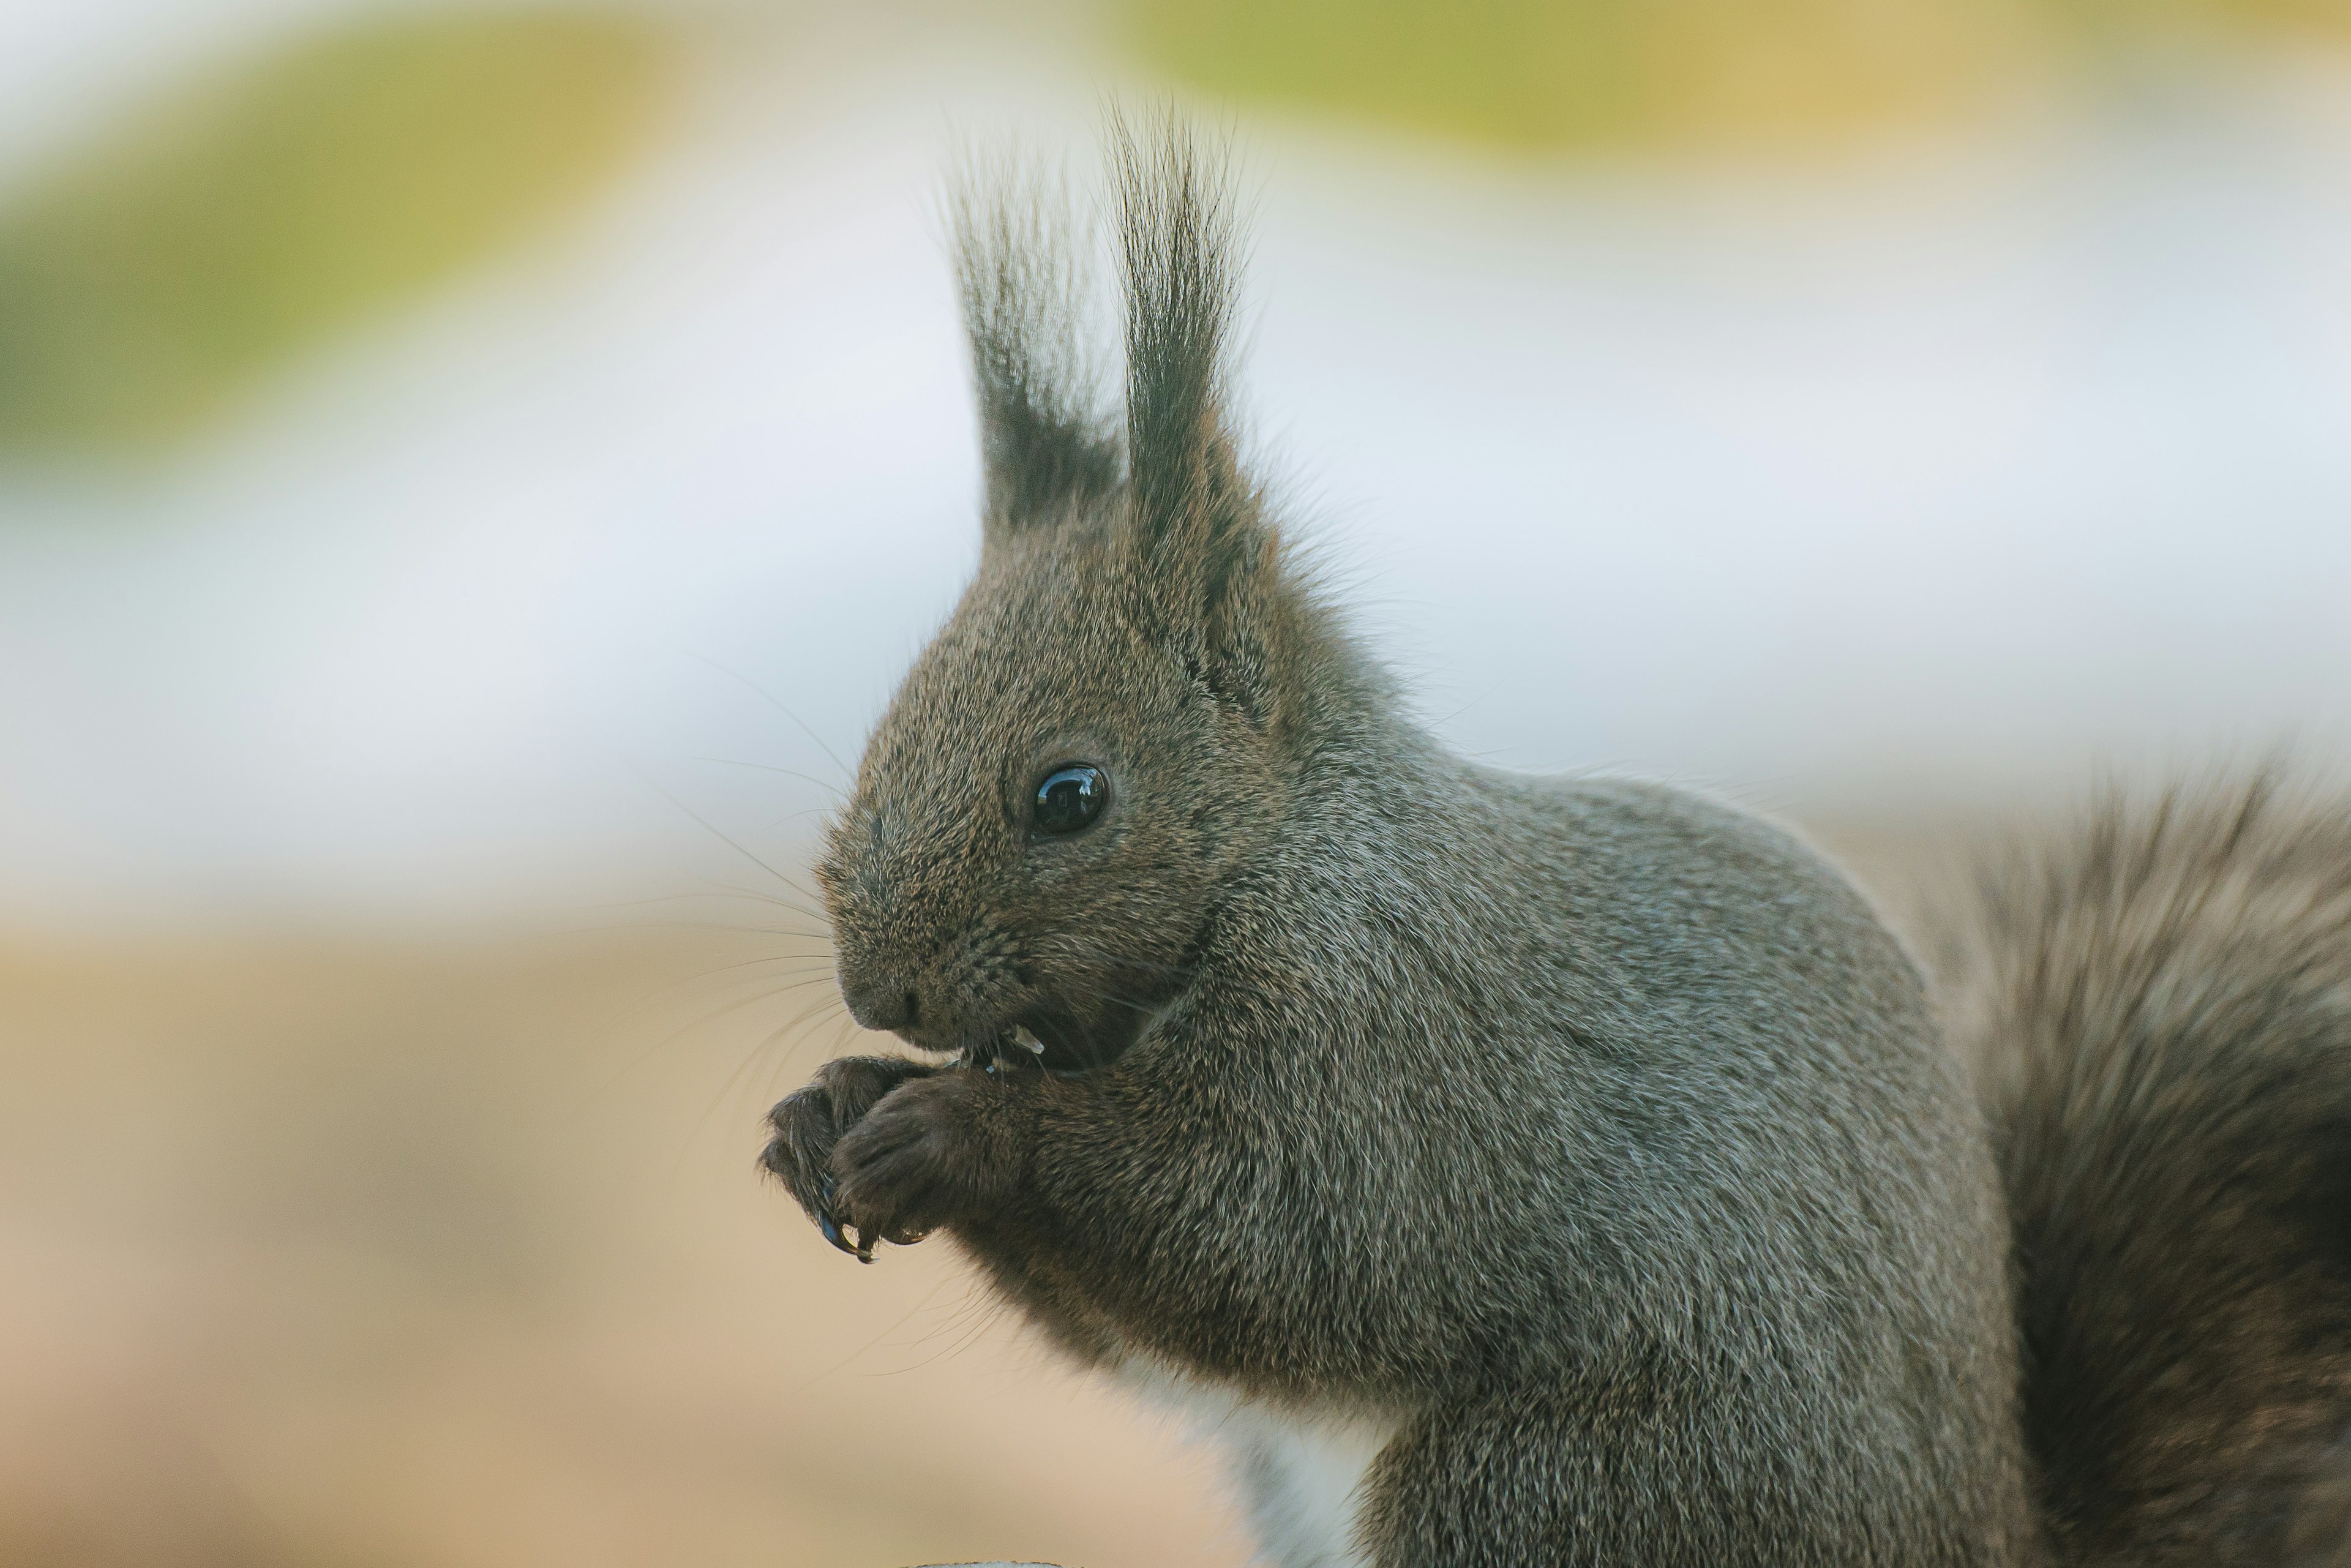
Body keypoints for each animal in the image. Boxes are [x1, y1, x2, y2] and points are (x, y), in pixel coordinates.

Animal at [766, 122, 2351, 1568]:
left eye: (1070, 792)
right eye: (891, 717)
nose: (878, 990)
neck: (1287, 855)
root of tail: (1989, 1531)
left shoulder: (1397, 1049)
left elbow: (1278, 1237)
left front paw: (956, 1128)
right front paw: (831, 1105)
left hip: (1557, 1483)